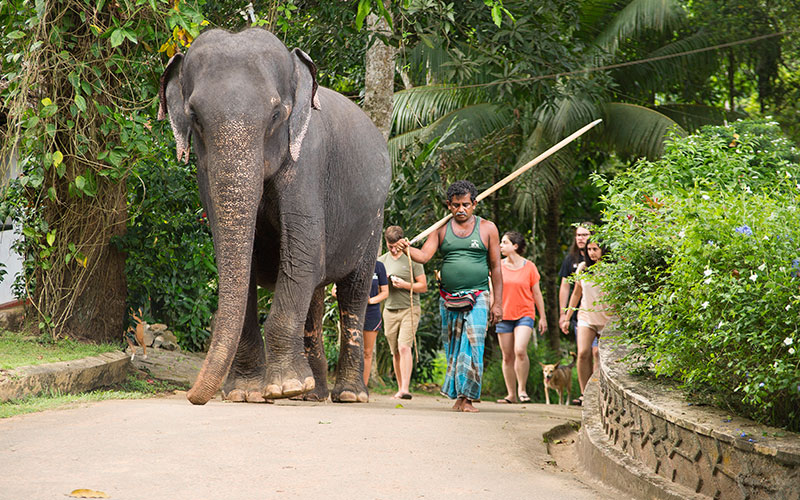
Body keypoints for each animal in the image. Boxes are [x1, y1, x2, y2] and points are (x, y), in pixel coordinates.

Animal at [157, 28, 391, 405]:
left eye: (276, 115)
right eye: (194, 117)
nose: (193, 396)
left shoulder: (308, 162)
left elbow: (302, 251)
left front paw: (284, 387)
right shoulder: (205, 175)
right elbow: (240, 260)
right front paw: (246, 393)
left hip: (375, 217)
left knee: (353, 292)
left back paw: (348, 395)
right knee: (315, 292)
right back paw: (312, 394)